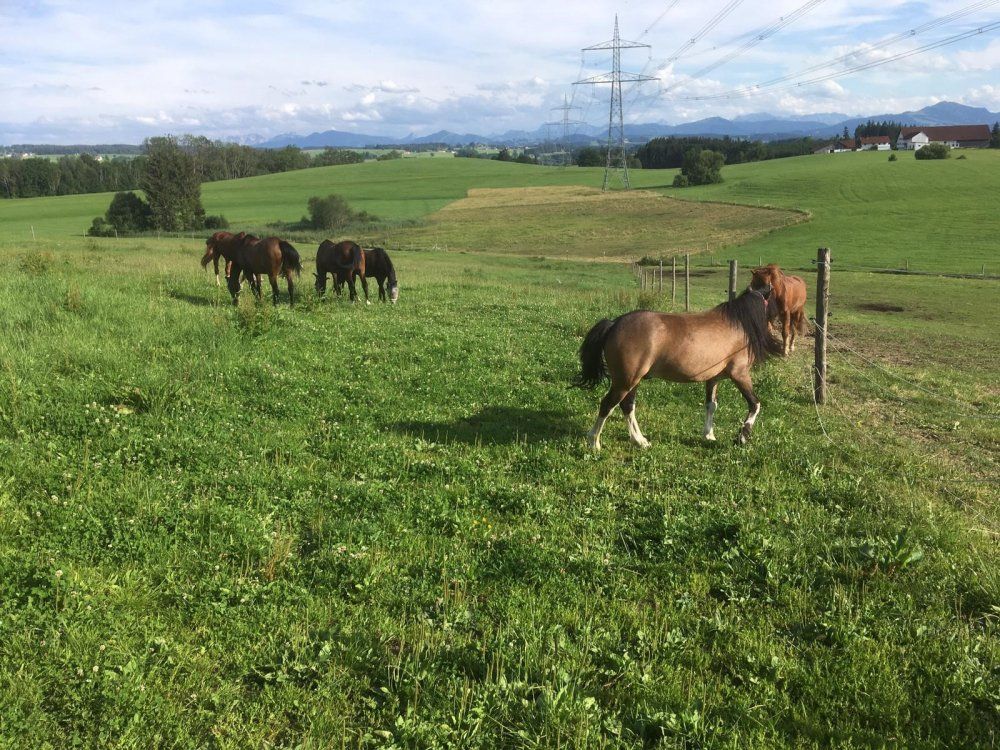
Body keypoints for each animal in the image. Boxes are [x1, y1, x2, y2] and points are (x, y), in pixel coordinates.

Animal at [575, 286, 781, 449]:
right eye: (774, 301)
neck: (738, 327)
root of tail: (614, 323)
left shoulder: (713, 379)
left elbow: (711, 405)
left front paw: (709, 435)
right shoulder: (739, 374)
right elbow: (755, 404)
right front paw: (742, 437)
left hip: (632, 381)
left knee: (627, 406)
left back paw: (639, 440)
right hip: (625, 381)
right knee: (607, 404)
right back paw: (594, 442)